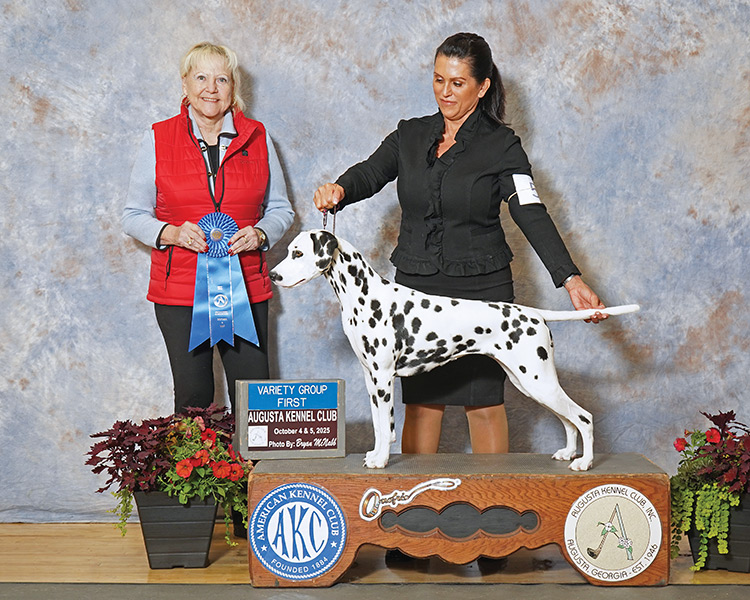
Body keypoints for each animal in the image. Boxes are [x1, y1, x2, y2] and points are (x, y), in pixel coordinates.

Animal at [270, 229, 639, 471]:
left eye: (298, 253)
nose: (273, 274)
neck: (364, 295)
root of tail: (534, 314)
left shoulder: (383, 379)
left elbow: (386, 427)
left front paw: (382, 460)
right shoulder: (370, 378)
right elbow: (376, 425)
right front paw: (375, 455)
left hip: (538, 381)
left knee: (583, 417)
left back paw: (585, 463)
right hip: (531, 383)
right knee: (568, 419)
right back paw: (567, 453)